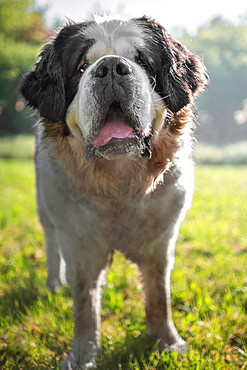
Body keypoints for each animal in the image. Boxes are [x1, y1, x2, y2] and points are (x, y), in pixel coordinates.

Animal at [19, 15, 208, 370]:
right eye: (81, 67)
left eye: (141, 61)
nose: (110, 68)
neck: (119, 186)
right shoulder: (78, 243)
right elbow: (84, 304)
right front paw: (82, 355)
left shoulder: (162, 241)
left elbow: (159, 296)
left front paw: (168, 343)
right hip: (45, 208)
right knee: (51, 245)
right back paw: (54, 283)